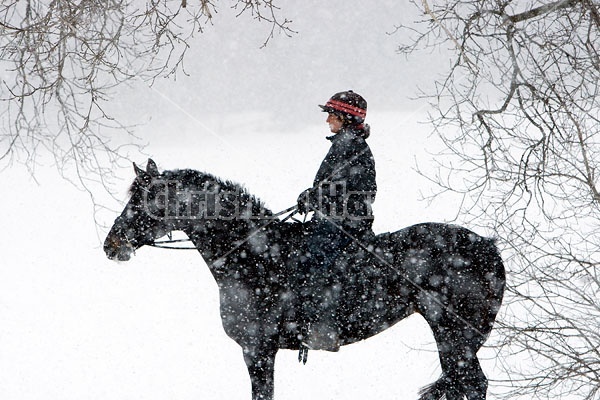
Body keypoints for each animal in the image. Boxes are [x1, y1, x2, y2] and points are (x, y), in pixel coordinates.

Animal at [104, 160, 506, 400]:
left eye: (140, 201)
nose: (111, 244)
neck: (254, 256)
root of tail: (487, 246)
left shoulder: (257, 350)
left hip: (452, 333)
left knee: (473, 384)